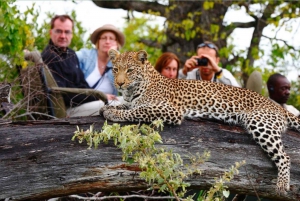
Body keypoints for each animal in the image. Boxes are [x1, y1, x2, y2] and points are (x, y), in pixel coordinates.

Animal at [100, 48, 300, 193]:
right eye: (116, 69)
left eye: (130, 70)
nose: (119, 83)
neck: (133, 90)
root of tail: (278, 106)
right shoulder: (130, 101)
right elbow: (127, 106)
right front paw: (107, 107)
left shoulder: (169, 110)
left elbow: (138, 110)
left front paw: (113, 113)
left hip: (260, 123)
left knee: (285, 156)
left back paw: (282, 184)